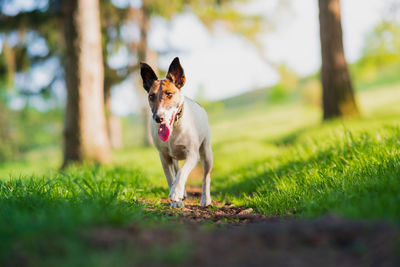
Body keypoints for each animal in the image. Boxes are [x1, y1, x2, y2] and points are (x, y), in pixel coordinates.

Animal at [140, 58, 214, 209]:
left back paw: (205, 199)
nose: (158, 118)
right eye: (151, 96)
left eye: (169, 94)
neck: (174, 128)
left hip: (206, 153)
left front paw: (176, 192)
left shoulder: (192, 154)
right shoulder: (164, 157)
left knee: (206, 176)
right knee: (176, 168)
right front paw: (176, 200)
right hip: (173, 157)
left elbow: (182, 171)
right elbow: (170, 177)